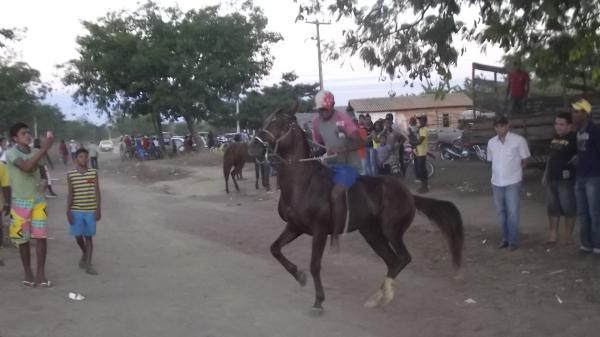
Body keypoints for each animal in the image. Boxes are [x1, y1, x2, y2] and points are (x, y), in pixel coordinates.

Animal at [248, 105, 464, 312]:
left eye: (279, 123)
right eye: (265, 119)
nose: (254, 147)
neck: (304, 182)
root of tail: (408, 195)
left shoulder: (319, 231)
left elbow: (315, 265)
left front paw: (318, 301)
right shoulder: (294, 227)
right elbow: (275, 249)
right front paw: (299, 275)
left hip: (391, 230)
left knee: (403, 258)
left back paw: (381, 296)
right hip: (371, 232)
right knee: (393, 261)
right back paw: (378, 297)